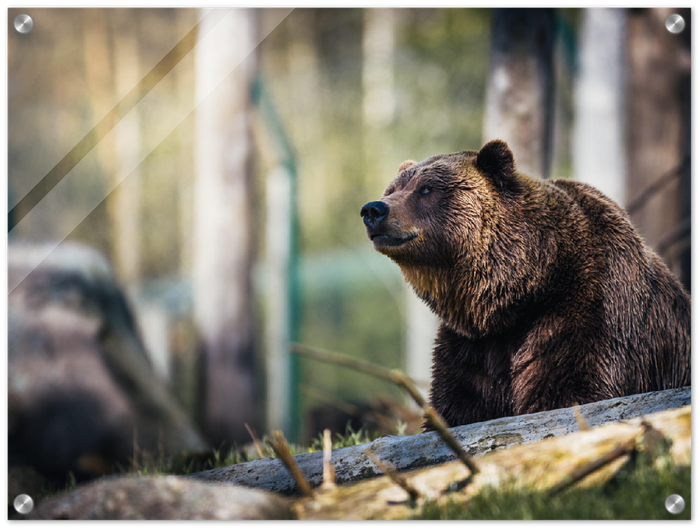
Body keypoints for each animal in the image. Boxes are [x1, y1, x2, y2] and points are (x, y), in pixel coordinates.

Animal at [360, 139, 691, 428]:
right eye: (392, 188)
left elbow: (570, 390)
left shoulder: (588, 310)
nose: (374, 210)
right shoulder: (472, 346)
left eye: (426, 189)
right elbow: (458, 405)